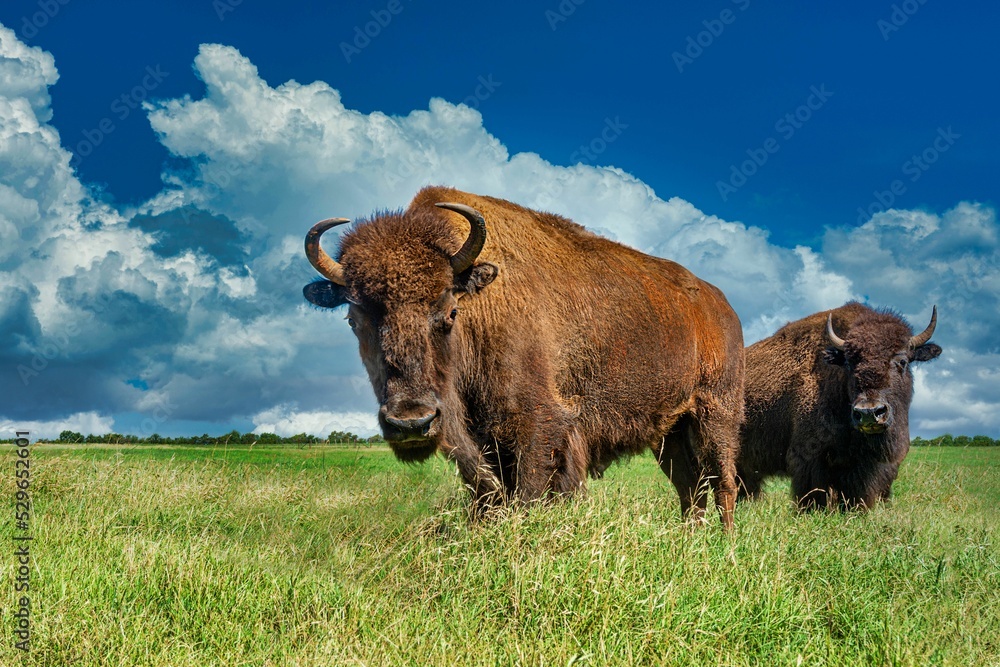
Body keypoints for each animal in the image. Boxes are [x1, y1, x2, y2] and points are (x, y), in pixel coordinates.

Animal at [300, 187, 748, 528]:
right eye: (354, 319)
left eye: (450, 312)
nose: (410, 421)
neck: (479, 304)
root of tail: (722, 306)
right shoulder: (475, 445)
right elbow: (486, 496)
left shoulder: (538, 426)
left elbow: (528, 495)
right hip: (669, 433)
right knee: (690, 488)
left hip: (716, 413)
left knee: (723, 482)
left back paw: (724, 544)